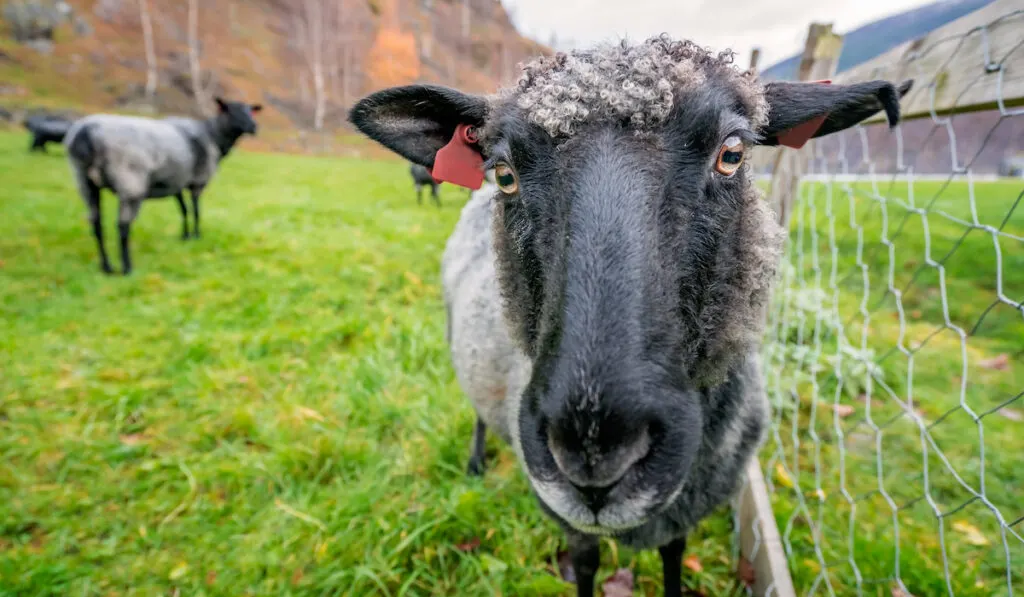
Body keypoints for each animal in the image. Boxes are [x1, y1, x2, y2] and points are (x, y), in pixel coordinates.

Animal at [63, 97, 262, 276]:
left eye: (250, 111)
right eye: (231, 111)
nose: (254, 127)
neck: (213, 136)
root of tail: (87, 133)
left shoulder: (176, 182)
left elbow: (184, 210)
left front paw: (185, 236)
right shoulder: (197, 182)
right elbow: (196, 211)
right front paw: (196, 235)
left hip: (85, 182)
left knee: (96, 223)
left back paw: (106, 267)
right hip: (130, 182)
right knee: (122, 226)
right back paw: (127, 268)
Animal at [348, 35, 909, 593]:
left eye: (732, 154)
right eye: (504, 173)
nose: (593, 451)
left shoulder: (683, 513)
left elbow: (674, 556)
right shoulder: (570, 522)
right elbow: (586, 566)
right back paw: (475, 462)